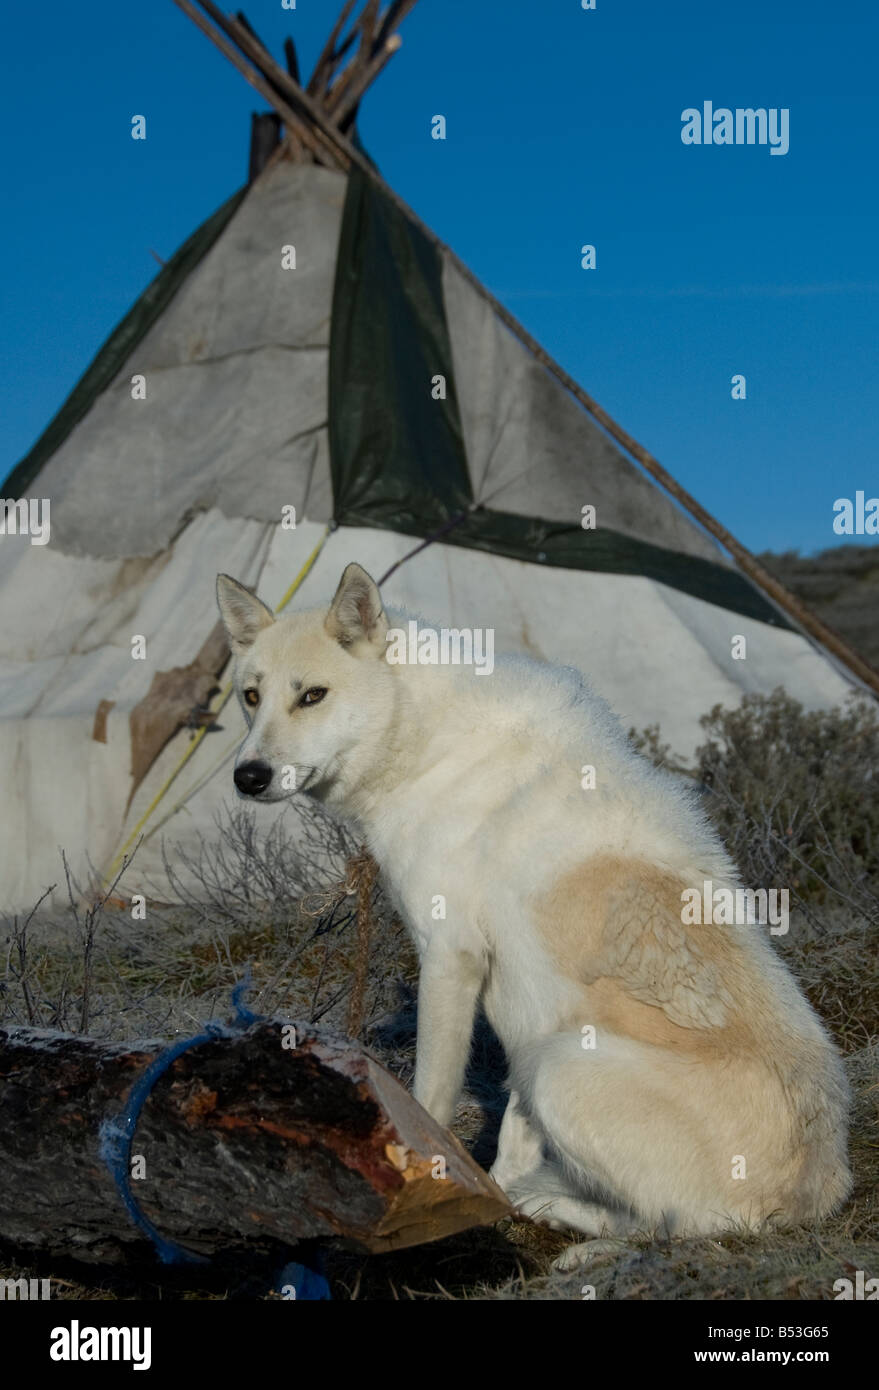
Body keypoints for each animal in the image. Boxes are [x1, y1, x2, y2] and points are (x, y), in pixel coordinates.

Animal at [218, 561, 851, 1273]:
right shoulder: (513, 1008)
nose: (248, 776)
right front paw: (489, 1199)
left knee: (678, 1223)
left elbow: (430, 1102)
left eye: (312, 696)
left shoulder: (450, 958)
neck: (428, 744)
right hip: (549, 1056)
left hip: (563, 1068)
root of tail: (818, 1194)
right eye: (251, 697)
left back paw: (573, 1234)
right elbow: (509, 1142)